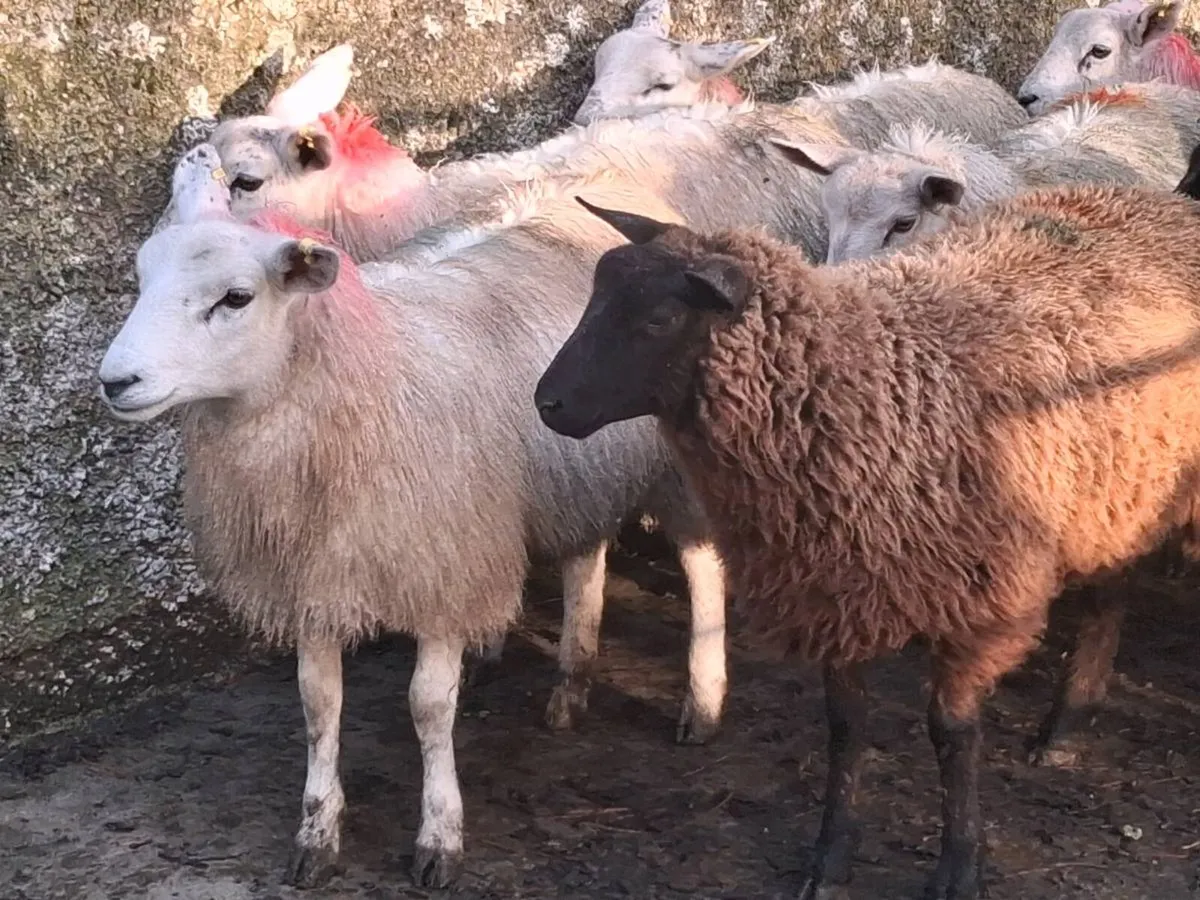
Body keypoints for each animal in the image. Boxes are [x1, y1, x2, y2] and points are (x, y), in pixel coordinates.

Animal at [99, 144, 732, 889]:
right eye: (142, 280)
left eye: (236, 297)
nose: (115, 382)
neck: (351, 378)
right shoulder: (315, 572)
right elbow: (318, 704)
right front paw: (316, 834)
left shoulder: (439, 562)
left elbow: (429, 707)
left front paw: (439, 837)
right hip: (577, 465)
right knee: (586, 553)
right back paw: (571, 686)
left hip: (675, 462)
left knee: (702, 562)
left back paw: (702, 701)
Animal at [533, 186, 1200, 898]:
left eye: (659, 319)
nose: (547, 405)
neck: (869, 382)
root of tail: (1158, 203)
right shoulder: (837, 589)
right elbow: (846, 731)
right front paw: (829, 861)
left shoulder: (981, 600)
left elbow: (952, 733)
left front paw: (959, 867)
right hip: (1119, 488)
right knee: (1112, 593)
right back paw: (1072, 718)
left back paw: (1065, 728)